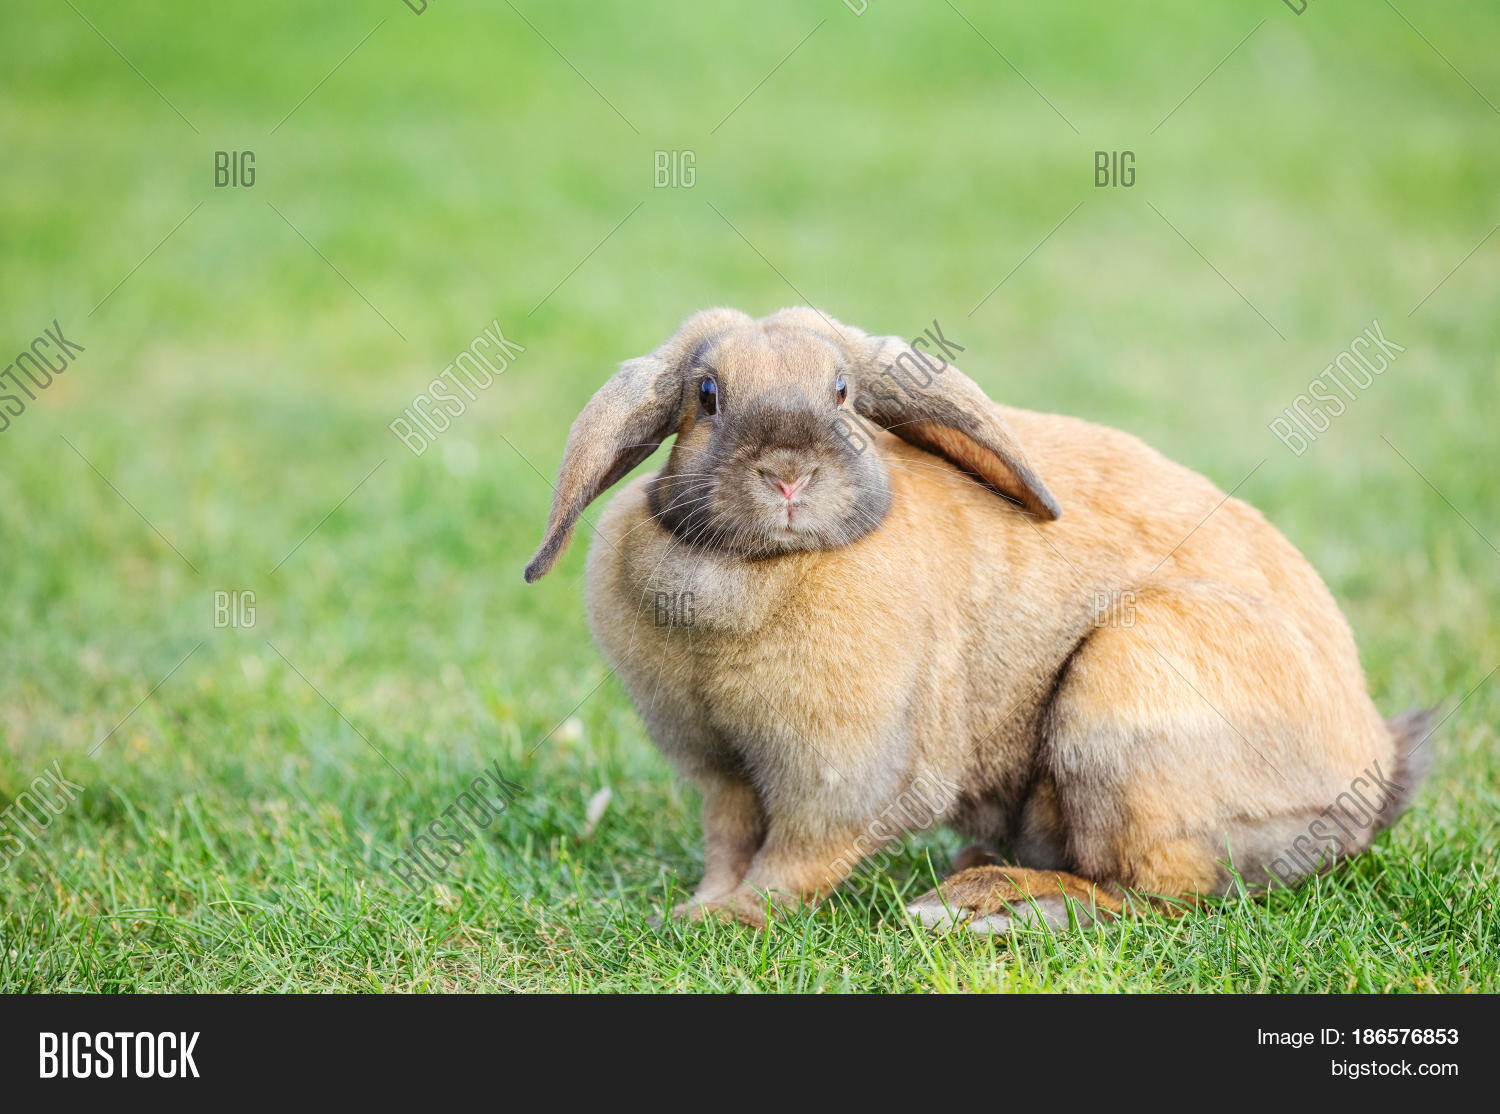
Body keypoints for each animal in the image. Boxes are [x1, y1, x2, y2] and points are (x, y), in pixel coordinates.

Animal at [523, 306, 1433, 931]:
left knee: (1157, 893)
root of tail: (1371, 767)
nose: (787, 474)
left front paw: (728, 918)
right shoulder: (722, 774)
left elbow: (792, 863)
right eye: (707, 396)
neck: (755, 570)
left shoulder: (839, 779)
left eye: (843, 394)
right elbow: (729, 843)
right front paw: (694, 909)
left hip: (1128, 689)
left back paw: (982, 904)